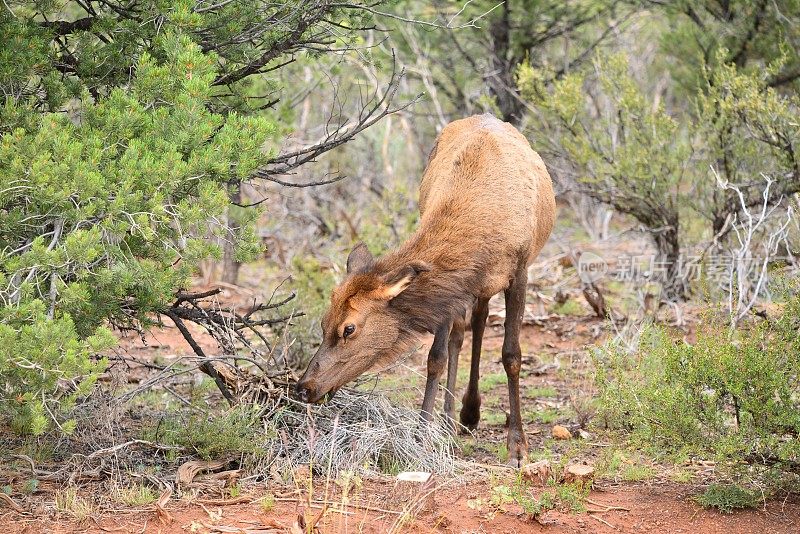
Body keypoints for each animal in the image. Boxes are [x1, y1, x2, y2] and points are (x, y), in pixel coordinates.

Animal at [296, 114, 552, 468]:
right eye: (323, 322)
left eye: (349, 328)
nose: (304, 387)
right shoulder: (454, 289)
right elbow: (436, 358)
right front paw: (422, 435)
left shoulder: (520, 272)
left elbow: (511, 355)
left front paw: (517, 446)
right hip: (471, 291)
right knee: (466, 329)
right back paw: (455, 418)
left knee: (480, 321)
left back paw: (469, 413)